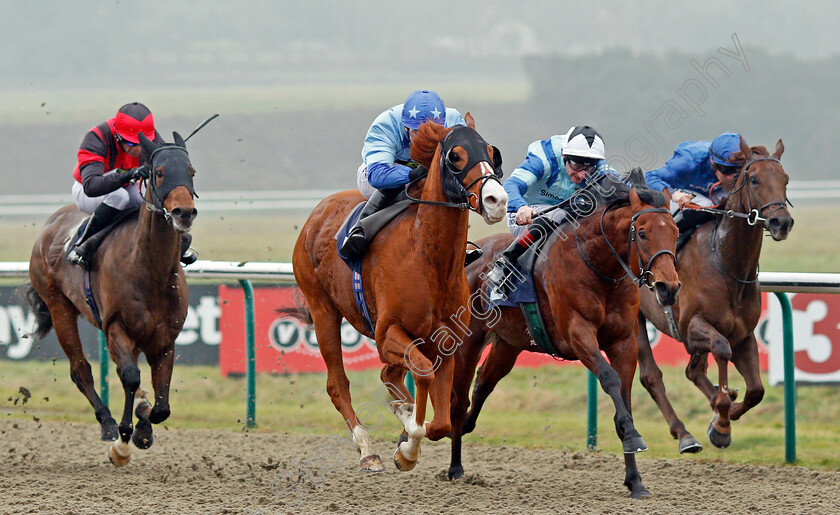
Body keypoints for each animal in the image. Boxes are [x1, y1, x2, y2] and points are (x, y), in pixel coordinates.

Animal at [25, 130, 199, 468]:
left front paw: (143, 424)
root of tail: (52, 222)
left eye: (191, 171)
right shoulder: (116, 327)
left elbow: (161, 406)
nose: (184, 213)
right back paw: (106, 422)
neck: (150, 269)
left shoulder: (164, 339)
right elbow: (130, 377)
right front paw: (123, 438)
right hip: (58, 305)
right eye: (159, 172)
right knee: (80, 370)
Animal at [288, 118, 508, 476]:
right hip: (323, 311)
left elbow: (441, 423)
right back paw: (367, 450)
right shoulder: (386, 333)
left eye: (491, 151)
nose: (496, 200)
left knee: (388, 375)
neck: (427, 260)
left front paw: (407, 440)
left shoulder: (446, 339)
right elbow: (422, 375)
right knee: (338, 384)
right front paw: (407, 447)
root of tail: (317, 213)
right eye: (455, 156)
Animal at [450, 171, 680, 502]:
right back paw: (455, 467)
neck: (598, 265)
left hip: (508, 344)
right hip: (467, 341)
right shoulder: (578, 334)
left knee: (483, 383)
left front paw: (635, 480)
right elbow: (609, 379)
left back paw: (467, 426)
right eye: (643, 233)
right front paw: (634, 437)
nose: (668, 288)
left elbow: (624, 397)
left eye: (675, 231)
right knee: (458, 399)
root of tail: (471, 255)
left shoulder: (623, 342)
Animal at [636, 136, 796, 452]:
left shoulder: (744, 335)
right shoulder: (692, 326)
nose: (781, 223)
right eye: (754, 179)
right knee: (651, 375)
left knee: (693, 371)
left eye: (785, 179)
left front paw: (725, 413)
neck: (727, 263)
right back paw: (685, 434)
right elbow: (722, 348)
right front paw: (721, 422)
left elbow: (756, 391)